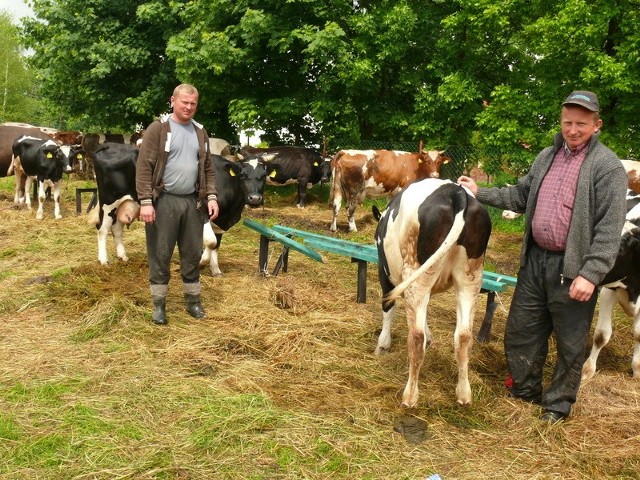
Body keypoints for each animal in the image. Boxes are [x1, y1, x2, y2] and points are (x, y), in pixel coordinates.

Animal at [372, 178, 492, 406]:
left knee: (416, 337)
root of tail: (456, 192)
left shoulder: (386, 276)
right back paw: (464, 394)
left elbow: (388, 307)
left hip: (415, 272)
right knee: (464, 336)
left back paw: (410, 397)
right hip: (470, 278)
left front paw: (382, 345)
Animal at [584, 189, 640, 380]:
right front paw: (587, 369)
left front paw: (637, 370)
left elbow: (639, 334)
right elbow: (601, 334)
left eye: (621, 249)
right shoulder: (609, 291)